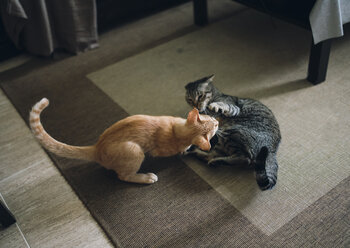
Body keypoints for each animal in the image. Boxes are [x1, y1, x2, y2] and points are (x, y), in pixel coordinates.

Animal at [30, 98, 217, 183]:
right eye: (213, 124)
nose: (218, 121)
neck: (176, 131)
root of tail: (97, 147)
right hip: (134, 151)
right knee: (123, 176)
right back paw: (146, 177)